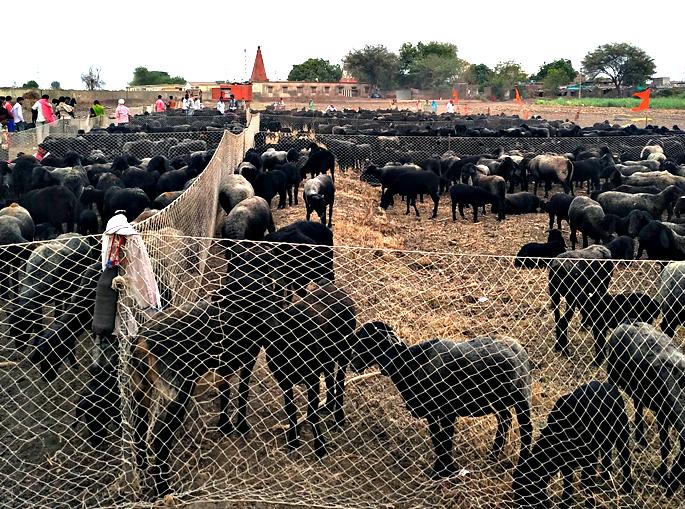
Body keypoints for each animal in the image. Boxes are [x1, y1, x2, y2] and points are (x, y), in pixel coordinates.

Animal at [351, 322, 532, 478]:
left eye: (368, 341)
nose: (352, 362)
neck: (410, 364)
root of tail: (519, 348)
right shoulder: (431, 413)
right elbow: (436, 438)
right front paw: (439, 472)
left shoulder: (447, 412)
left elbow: (445, 439)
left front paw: (446, 471)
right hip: (498, 401)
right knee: (505, 419)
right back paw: (492, 457)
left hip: (521, 397)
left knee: (526, 429)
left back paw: (522, 468)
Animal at [607, 323, 685, 495]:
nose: (669, 489)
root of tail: (625, 324)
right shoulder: (662, 414)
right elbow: (666, 447)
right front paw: (662, 474)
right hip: (612, 377)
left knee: (638, 405)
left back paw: (641, 436)